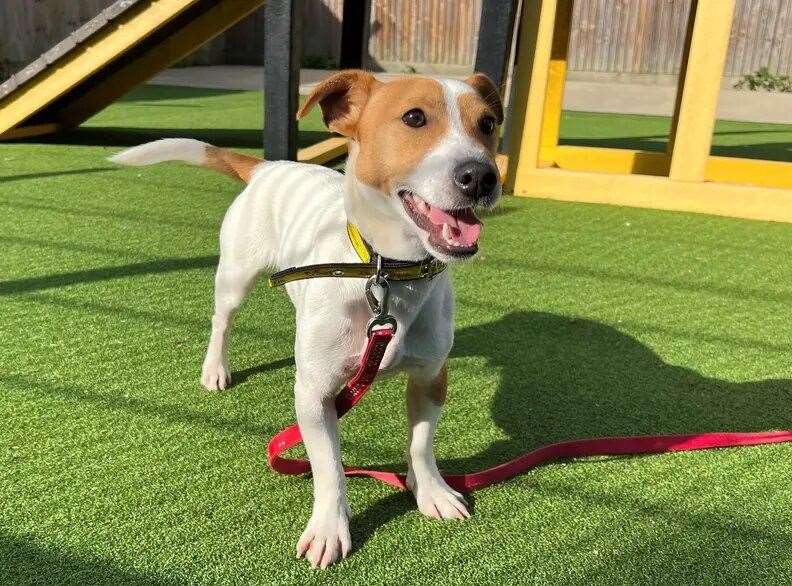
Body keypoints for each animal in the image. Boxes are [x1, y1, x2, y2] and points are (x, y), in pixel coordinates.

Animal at [109, 69, 504, 564]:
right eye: (414, 117)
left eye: (488, 123)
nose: (482, 175)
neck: (387, 271)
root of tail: (266, 167)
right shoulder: (315, 395)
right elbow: (329, 468)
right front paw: (329, 528)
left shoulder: (431, 376)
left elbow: (421, 443)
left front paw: (430, 490)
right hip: (235, 277)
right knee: (222, 321)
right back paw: (215, 368)